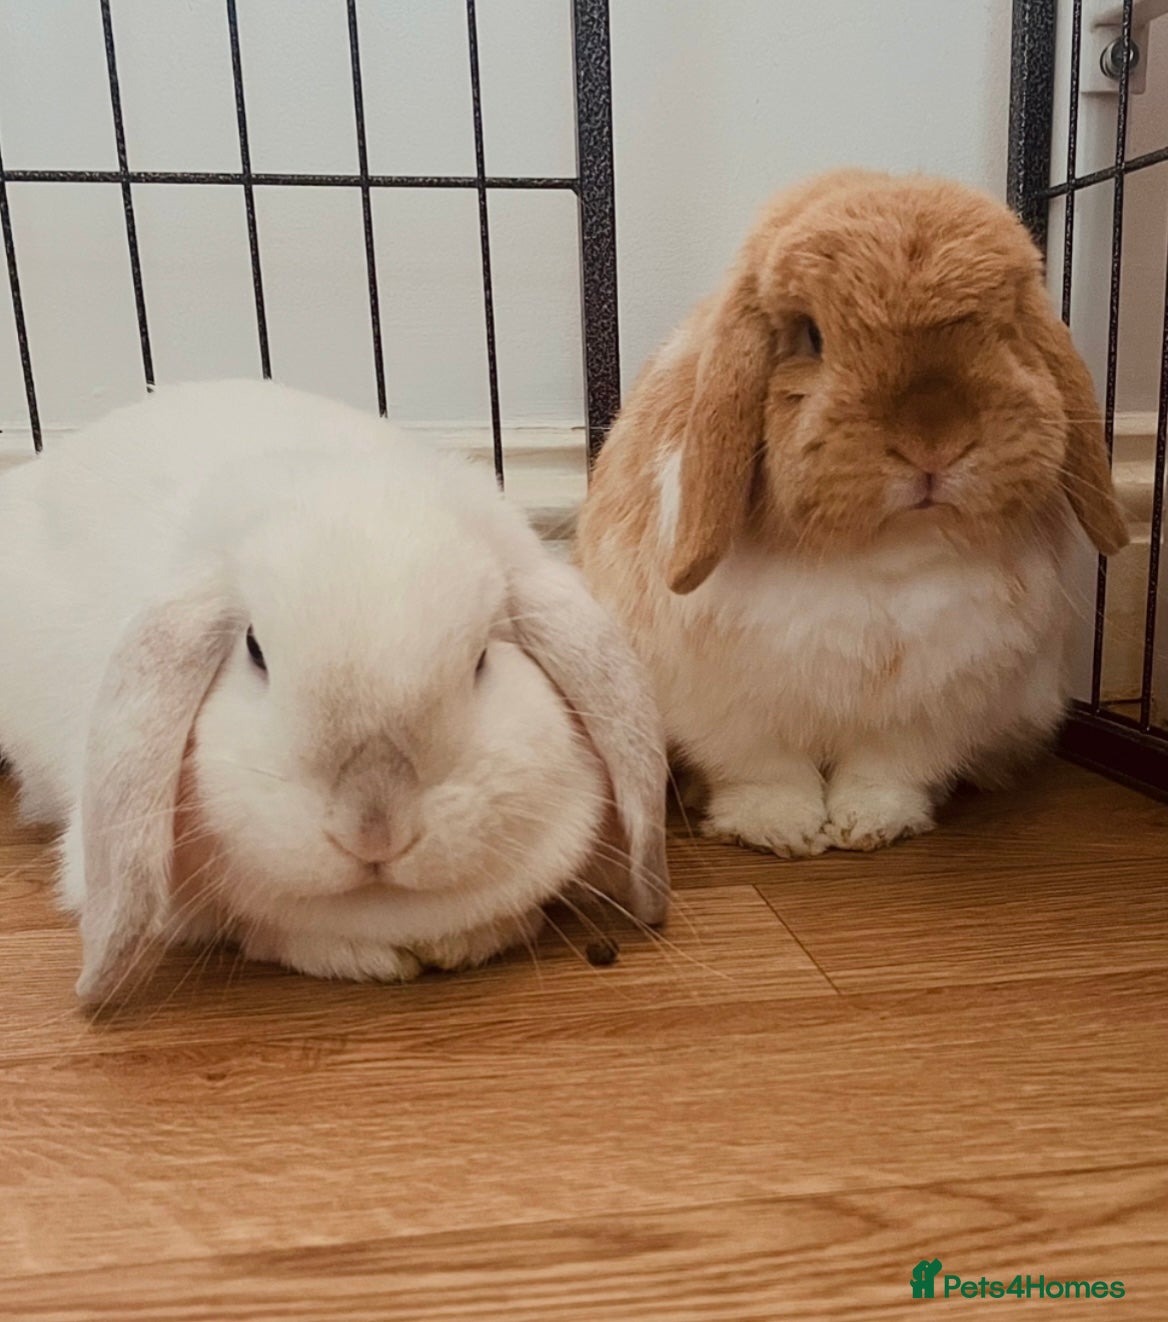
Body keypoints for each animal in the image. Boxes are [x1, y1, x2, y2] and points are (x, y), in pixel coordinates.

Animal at [576, 169, 1128, 858]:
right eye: (812, 336)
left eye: (1005, 329)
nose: (933, 440)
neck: (882, 555)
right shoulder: (732, 709)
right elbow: (764, 770)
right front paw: (780, 830)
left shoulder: (932, 704)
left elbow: (886, 769)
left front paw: (871, 825)